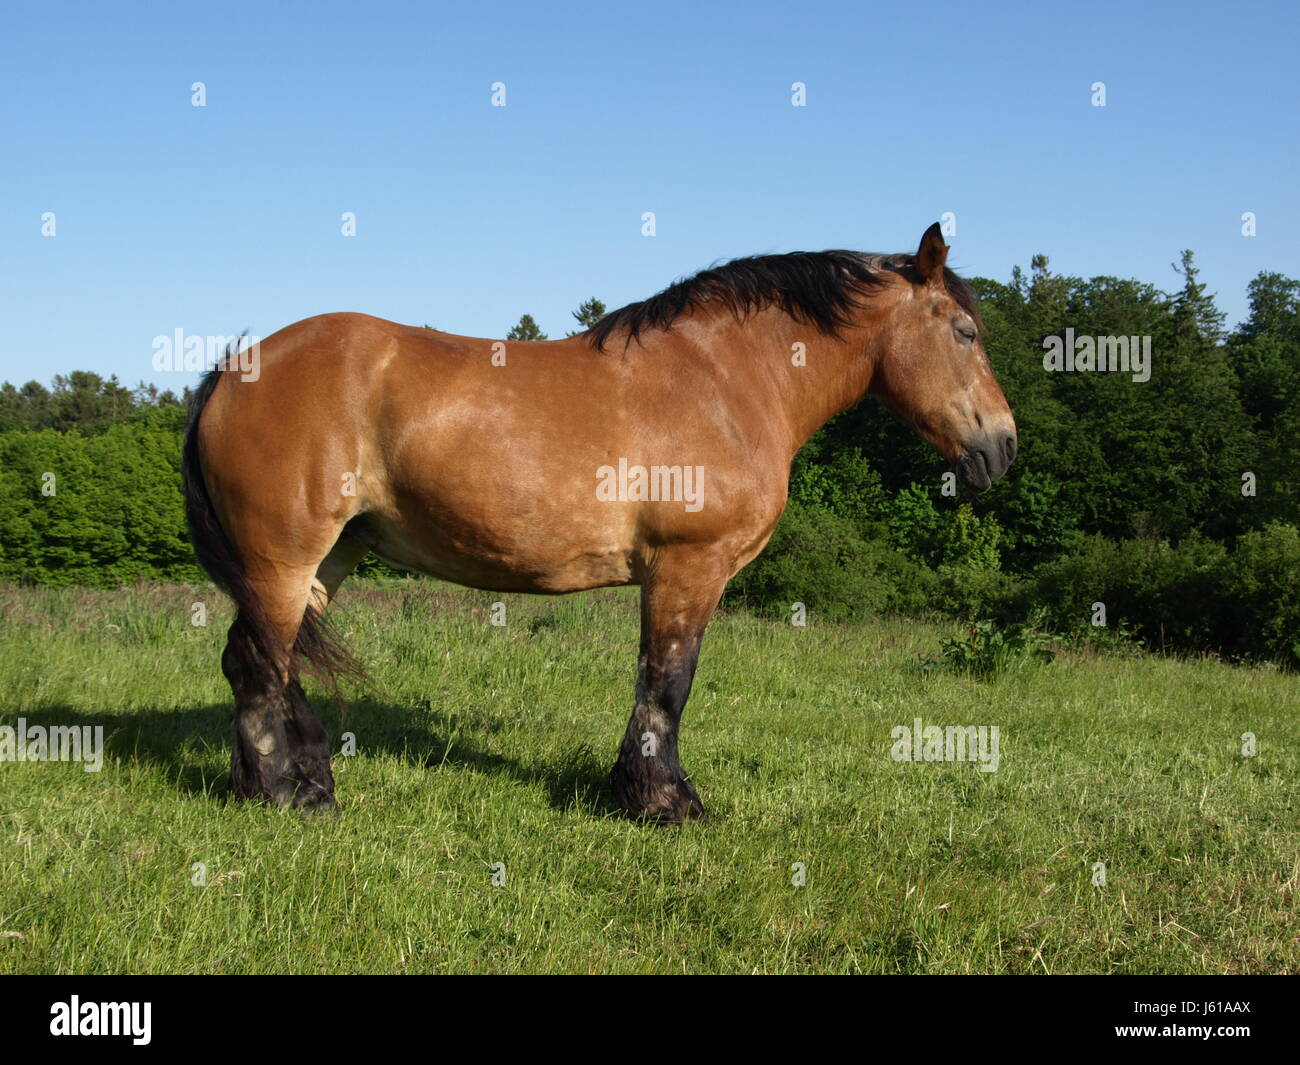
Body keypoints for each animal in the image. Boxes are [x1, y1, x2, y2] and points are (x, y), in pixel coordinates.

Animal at [183, 224, 1013, 827]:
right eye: (966, 332)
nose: (1001, 447)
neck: (726, 379)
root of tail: (233, 370)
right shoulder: (688, 566)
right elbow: (668, 683)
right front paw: (664, 801)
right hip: (284, 558)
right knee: (258, 666)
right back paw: (286, 795)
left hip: (322, 559)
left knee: (264, 663)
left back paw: (294, 782)